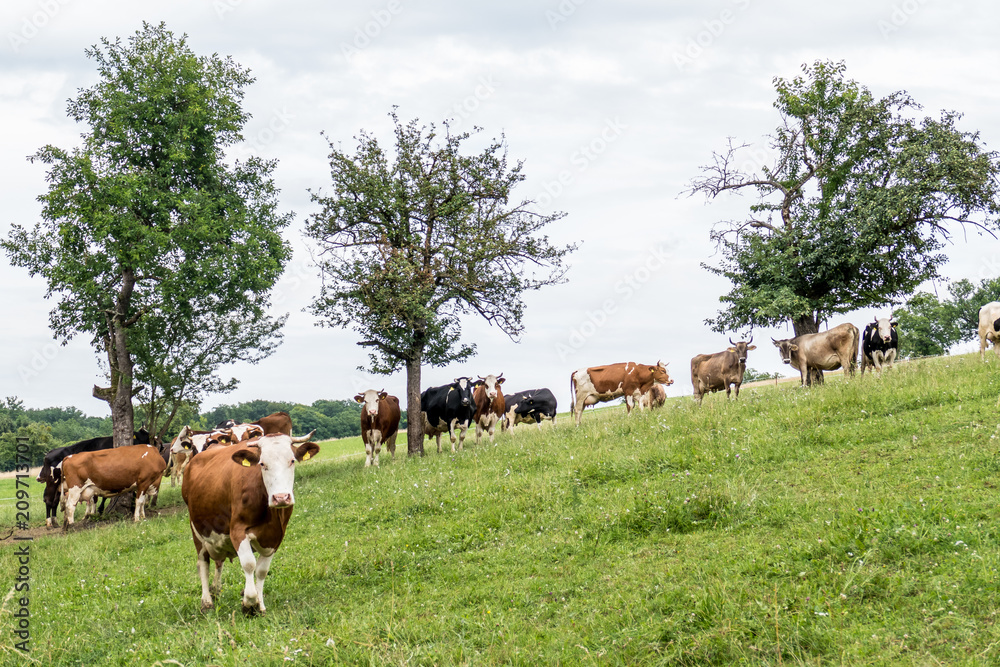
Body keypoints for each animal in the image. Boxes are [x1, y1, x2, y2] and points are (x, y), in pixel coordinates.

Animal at [182, 434, 318, 616]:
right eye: (262, 463)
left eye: (292, 461)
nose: (281, 497)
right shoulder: (237, 530)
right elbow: (249, 564)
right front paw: (249, 603)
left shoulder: (276, 537)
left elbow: (261, 571)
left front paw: (259, 605)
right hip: (197, 530)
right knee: (203, 563)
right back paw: (207, 602)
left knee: (218, 562)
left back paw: (215, 590)